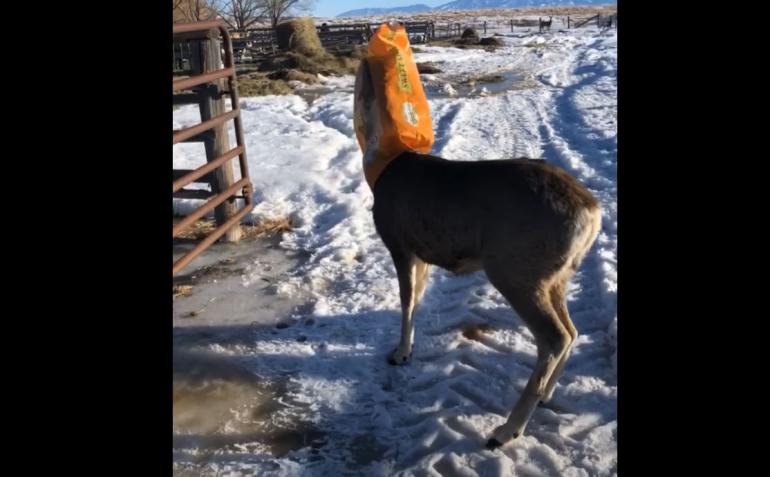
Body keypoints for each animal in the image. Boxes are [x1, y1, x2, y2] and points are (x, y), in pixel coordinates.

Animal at [352, 57, 600, 448]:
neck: (386, 165)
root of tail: (592, 212)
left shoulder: (399, 242)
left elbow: (406, 300)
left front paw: (400, 353)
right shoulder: (423, 251)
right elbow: (417, 299)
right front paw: (409, 347)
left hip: (517, 269)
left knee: (555, 336)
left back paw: (506, 430)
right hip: (557, 274)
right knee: (572, 331)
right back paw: (545, 395)